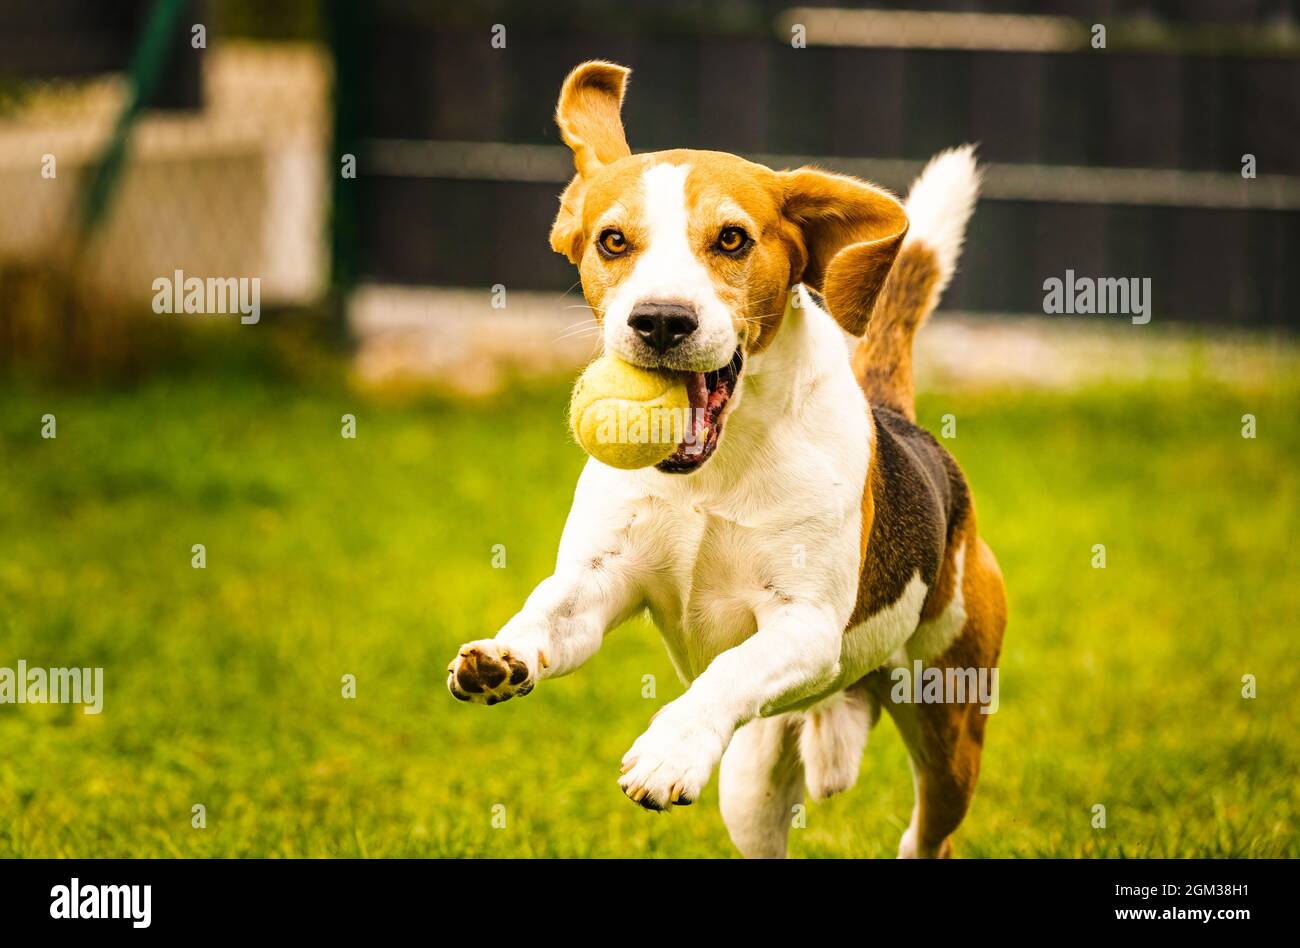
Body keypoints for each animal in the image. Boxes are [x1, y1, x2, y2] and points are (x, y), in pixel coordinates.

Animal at [452, 61, 1008, 858]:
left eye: (733, 239)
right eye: (613, 241)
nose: (660, 320)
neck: (711, 475)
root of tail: (903, 423)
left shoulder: (804, 626)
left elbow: (728, 669)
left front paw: (671, 749)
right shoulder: (598, 583)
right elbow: (549, 612)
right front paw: (504, 656)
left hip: (950, 730)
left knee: (929, 832)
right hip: (752, 782)